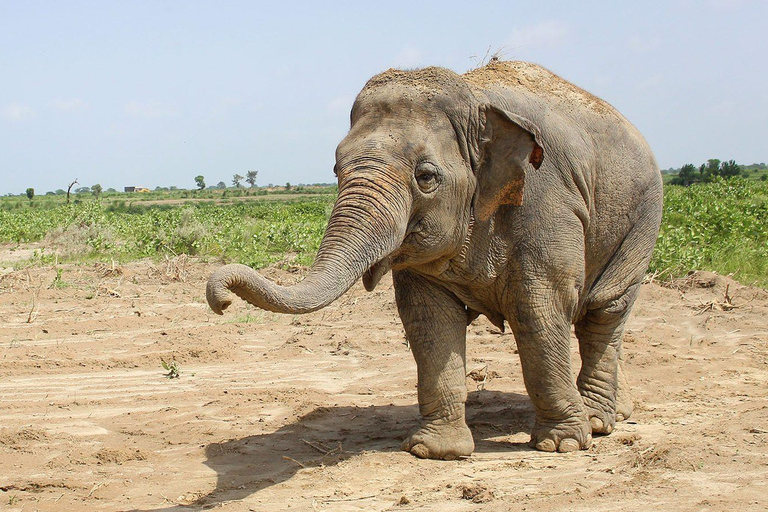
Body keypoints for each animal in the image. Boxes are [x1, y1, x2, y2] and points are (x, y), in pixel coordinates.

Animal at [207, 59, 664, 460]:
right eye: (335, 170)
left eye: (426, 177)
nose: (221, 299)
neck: (477, 101)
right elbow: (428, 320)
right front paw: (436, 452)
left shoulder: (547, 201)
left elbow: (540, 307)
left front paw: (561, 445)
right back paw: (612, 414)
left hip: (642, 223)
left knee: (605, 314)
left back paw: (597, 422)